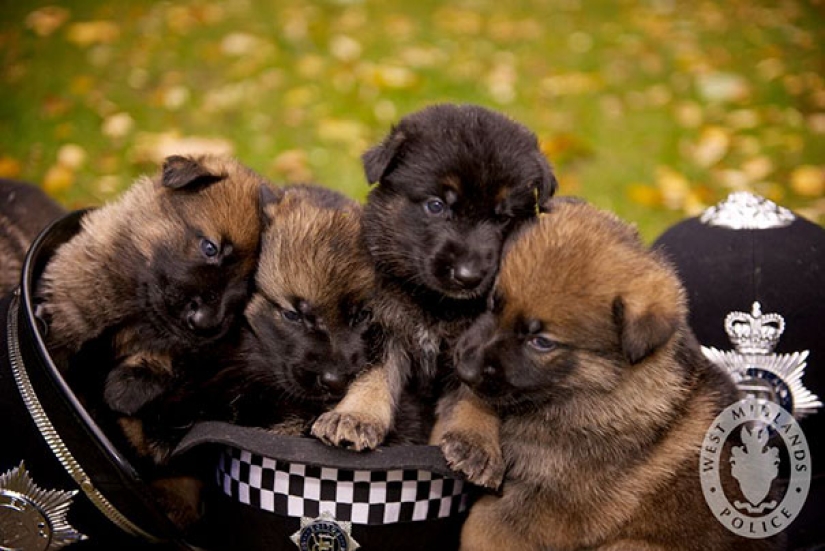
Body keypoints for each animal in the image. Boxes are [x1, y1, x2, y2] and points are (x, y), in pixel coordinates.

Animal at [312, 103, 556, 488]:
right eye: (437, 205)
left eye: (503, 218)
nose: (469, 276)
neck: (435, 304)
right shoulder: (382, 322)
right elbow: (373, 372)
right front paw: (355, 416)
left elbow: (476, 395)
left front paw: (476, 442)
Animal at [450, 201, 780, 551]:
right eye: (492, 304)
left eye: (541, 342)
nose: (464, 368)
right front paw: (472, 440)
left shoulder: (551, 510)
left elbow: (479, 526)